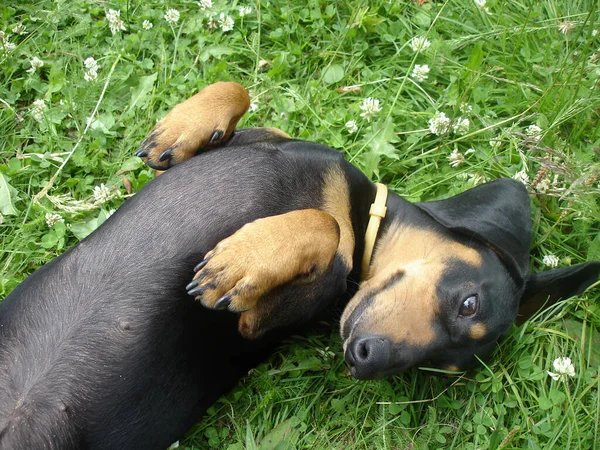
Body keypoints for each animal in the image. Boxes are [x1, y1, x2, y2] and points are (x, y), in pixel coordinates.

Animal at [1, 81, 600, 450]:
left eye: (436, 369)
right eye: (468, 302)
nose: (364, 360)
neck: (360, 209)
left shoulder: (256, 322)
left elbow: (324, 231)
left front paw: (241, 261)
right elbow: (237, 90)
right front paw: (179, 127)